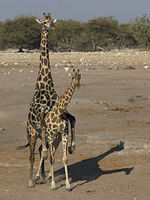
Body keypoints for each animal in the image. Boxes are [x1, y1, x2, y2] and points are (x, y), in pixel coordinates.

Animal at [25, 12, 76, 188]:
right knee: (33, 154)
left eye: (52, 21)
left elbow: (73, 118)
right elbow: (45, 152)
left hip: (43, 134)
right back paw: (32, 180)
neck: (45, 85)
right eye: (44, 22)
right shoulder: (42, 119)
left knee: (41, 150)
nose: (51, 27)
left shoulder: (61, 113)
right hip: (32, 132)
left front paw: (72, 147)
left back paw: (43, 176)